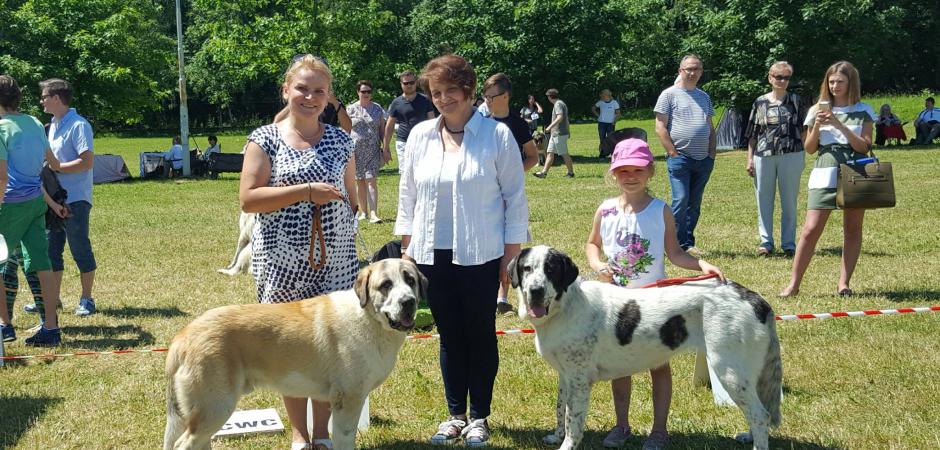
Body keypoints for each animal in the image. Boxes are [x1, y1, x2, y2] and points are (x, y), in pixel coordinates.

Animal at [163, 258, 424, 450]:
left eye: (410, 280)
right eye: (386, 285)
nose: (408, 302)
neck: (369, 317)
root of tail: (183, 336)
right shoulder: (348, 401)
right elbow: (345, 440)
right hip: (216, 406)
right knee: (183, 444)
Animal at [510, 246, 784, 450]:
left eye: (551, 269)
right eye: (527, 269)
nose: (536, 291)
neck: (565, 305)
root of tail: (756, 299)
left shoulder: (579, 381)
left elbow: (573, 421)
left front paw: (566, 444)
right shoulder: (565, 376)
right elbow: (560, 410)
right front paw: (556, 436)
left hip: (729, 370)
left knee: (760, 415)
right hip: (745, 375)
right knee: (758, 412)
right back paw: (749, 436)